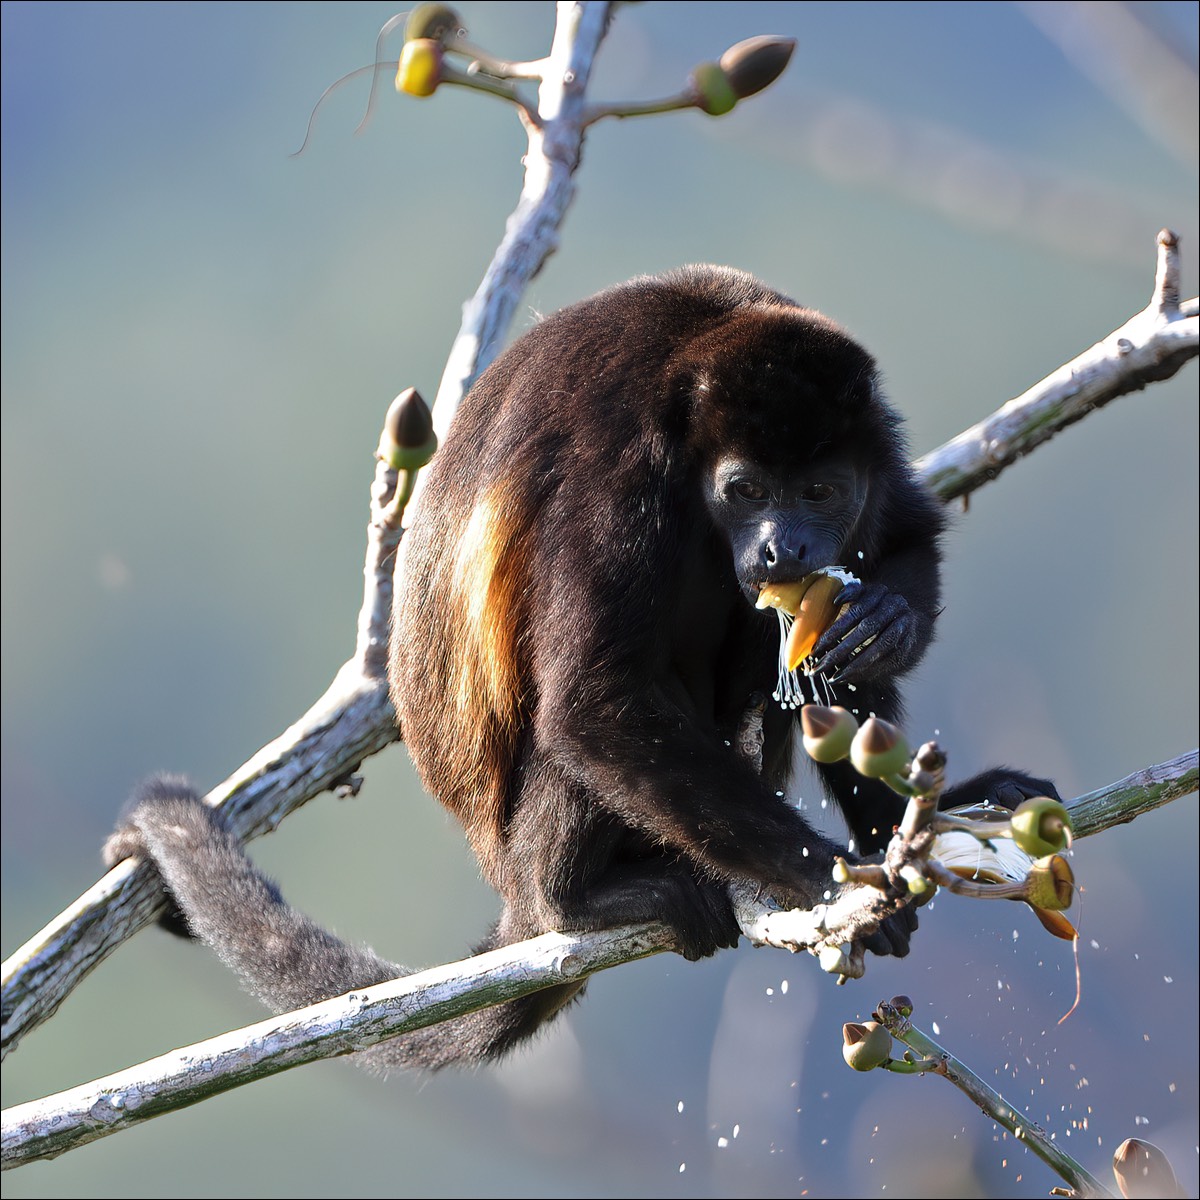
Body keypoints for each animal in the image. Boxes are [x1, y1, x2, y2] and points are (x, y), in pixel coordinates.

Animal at [110, 270, 1051, 1070]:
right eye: (745, 490)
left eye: (818, 491)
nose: (783, 547)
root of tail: (510, 891)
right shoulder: (622, 478)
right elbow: (593, 704)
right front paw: (829, 878)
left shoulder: (873, 437)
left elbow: (906, 540)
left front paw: (886, 620)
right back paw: (589, 903)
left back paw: (914, 820)